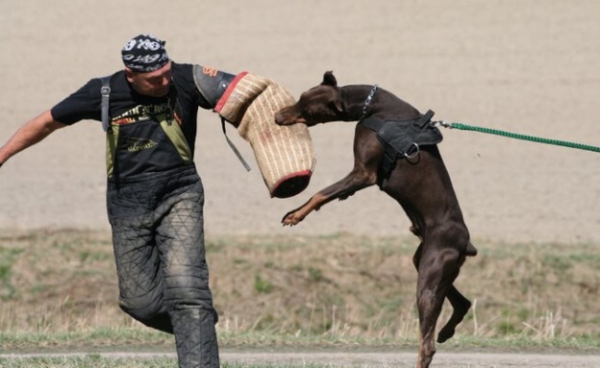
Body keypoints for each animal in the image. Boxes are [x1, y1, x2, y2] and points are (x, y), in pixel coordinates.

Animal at [276, 71, 478, 368]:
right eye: (301, 97)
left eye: (308, 110)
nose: (277, 116)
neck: (372, 105)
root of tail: (466, 243)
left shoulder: (364, 172)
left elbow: (320, 193)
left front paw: (295, 215)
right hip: (425, 262)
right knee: (462, 303)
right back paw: (446, 331)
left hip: (430, 274)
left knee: (426, 344)